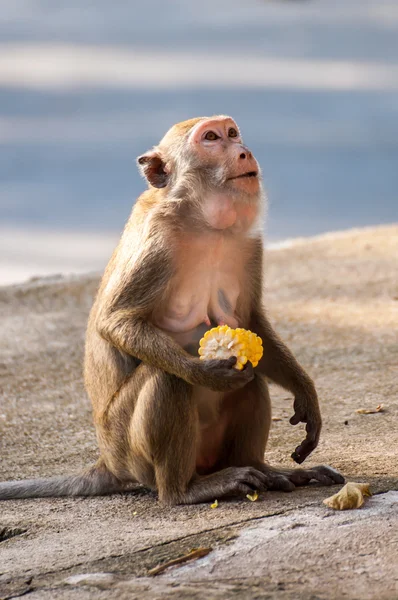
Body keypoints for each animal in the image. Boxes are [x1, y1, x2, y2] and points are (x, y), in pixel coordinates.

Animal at [0, 116, 344, 502]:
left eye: (232, 133)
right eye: (210, 138)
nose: (244, 151)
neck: (205, 222)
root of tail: (107, 460)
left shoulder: (249, 241)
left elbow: (251, 323)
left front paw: (305, 394)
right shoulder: (158, 243)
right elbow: (116, 321)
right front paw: (205, 373)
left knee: (251, 375)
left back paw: (265, 469)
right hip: (129, 450)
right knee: (166, 376)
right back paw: (185, 490)